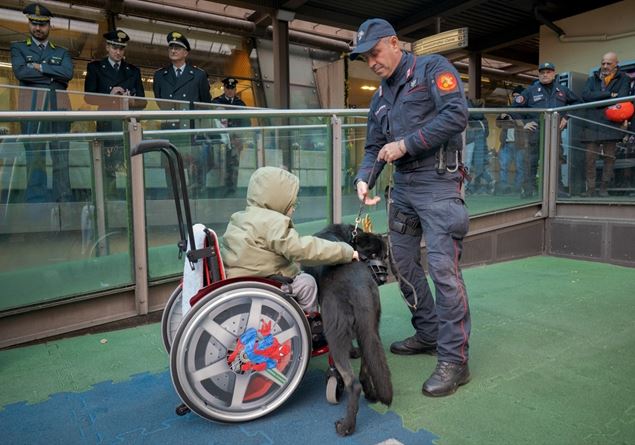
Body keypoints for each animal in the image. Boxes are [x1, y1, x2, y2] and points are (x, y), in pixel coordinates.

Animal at [304, 224, 392, 436]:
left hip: (335, 334)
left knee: (353, 383)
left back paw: (346, 426)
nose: (384, 277)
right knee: (366, 368)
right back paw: (371, 394)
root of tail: (359, 288)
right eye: (374, 254)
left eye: (384, 255)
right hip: (370, 330)